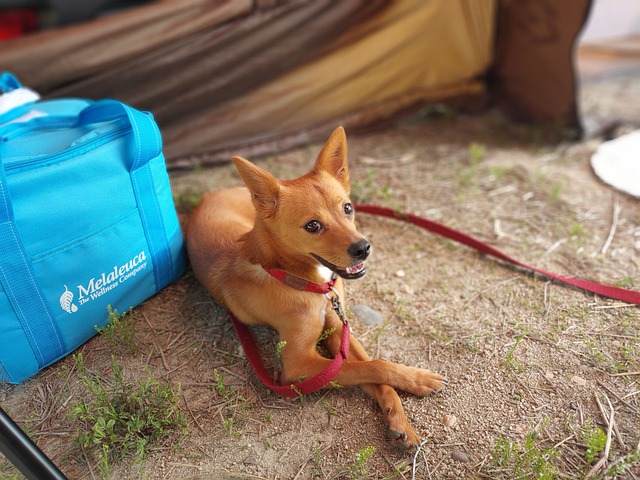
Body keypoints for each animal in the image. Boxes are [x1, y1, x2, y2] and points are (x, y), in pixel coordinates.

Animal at [185, 127, 444, 450]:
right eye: (312, 226)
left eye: (348, 208)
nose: (363, 248)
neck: (303, 281)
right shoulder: (297, 366)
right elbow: (370, 366)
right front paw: (419, 380)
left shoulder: (338, 329)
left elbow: (370, 368)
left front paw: (400, 417)